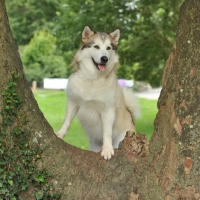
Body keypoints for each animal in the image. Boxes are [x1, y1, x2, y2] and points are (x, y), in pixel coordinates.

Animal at [55, 25, 139, 160]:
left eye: (108, 48)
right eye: (96, 46)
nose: (104, 59)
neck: (93, 79)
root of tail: (132, 118)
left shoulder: (107, 110)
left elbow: (107, 132)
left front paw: (107, 149)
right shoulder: (73, 103)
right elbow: (67, 121)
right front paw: (60, 133)